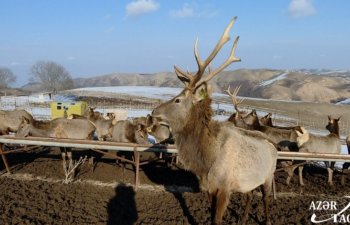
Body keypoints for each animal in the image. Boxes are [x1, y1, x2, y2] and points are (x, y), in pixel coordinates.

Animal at [152, 17, 278, 225]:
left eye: (178, 100)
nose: (154, 111)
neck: (205, 162)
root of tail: (274, 146)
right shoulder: (210, 188)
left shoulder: (225, 188)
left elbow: (216, 220)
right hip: (250, 182)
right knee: (250, 195)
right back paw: (243, 219)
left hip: (268, 176)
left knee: (266, 198)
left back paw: (267, 220)